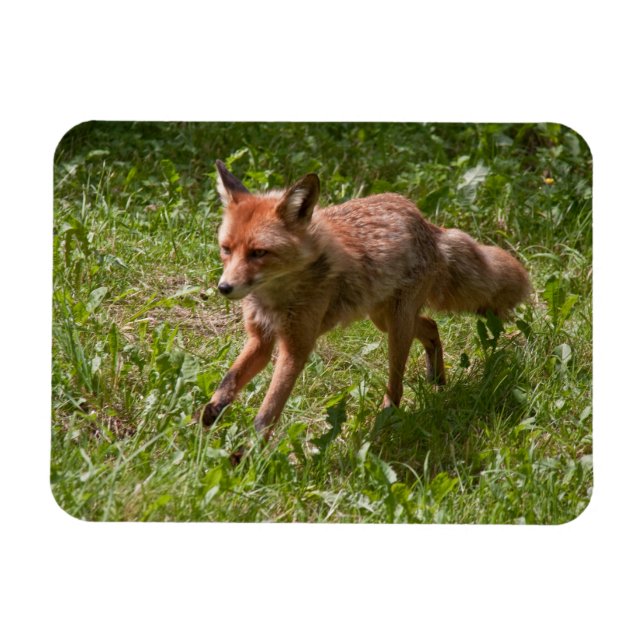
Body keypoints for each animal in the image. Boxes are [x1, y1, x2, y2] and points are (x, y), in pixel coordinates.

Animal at [199, 160, 531, 438]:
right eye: (226, 249)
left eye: (259, 253)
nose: (224, 288)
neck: (274, 299)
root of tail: (426, 222)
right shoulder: (262, 339)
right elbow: (229, 379)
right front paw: (212, 411)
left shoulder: (296, 347)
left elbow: (268, 411)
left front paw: (248, 453)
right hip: (383, 318)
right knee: (430, 325)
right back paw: (437, 379)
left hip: (395, 331)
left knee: (397, 385)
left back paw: (385, 420)